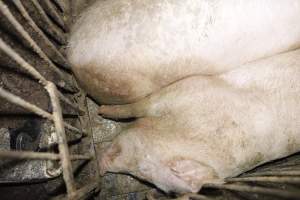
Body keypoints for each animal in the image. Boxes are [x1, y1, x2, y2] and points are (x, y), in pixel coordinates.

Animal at [98, 48, 300, 194]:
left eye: (144, 171)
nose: (102, 169)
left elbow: (134, 108)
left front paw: (102, 110)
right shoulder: (186, 87)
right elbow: (133, 107)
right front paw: (102, 110)